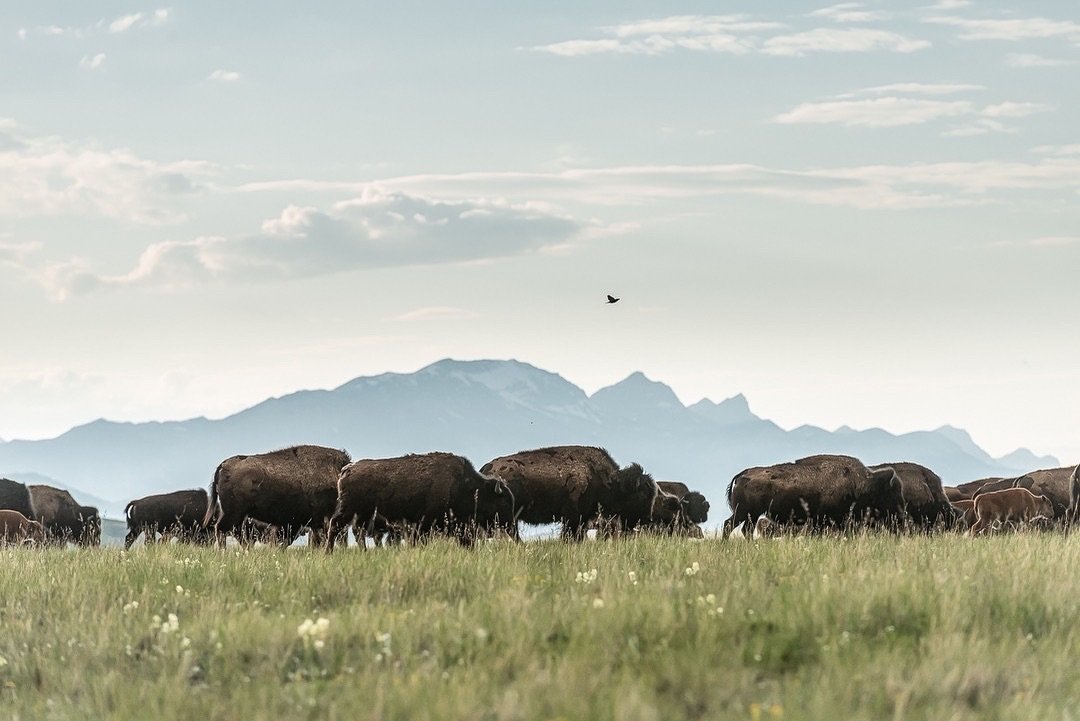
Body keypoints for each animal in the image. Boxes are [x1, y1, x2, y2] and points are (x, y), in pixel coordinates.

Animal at [204, 444, 352, 546]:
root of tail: (224, 465)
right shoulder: (320, 520)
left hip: (238, 515)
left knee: (234, 532)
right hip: (234, 513)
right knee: (223, 529)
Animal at [324, 451, 514, 552]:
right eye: (503, 503)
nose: (511, 527)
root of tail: (347, 470)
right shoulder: (423, 526)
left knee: (357, 534)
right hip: (348, 512)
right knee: (335, 527)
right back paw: (328, 552)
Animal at [721, 453, 907, 537]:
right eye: (893, 493)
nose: (902, 512)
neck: (862, 484)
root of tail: (743, 474)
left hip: (750, 515)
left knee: (744, 529)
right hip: (744, 512)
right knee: (729, 525)